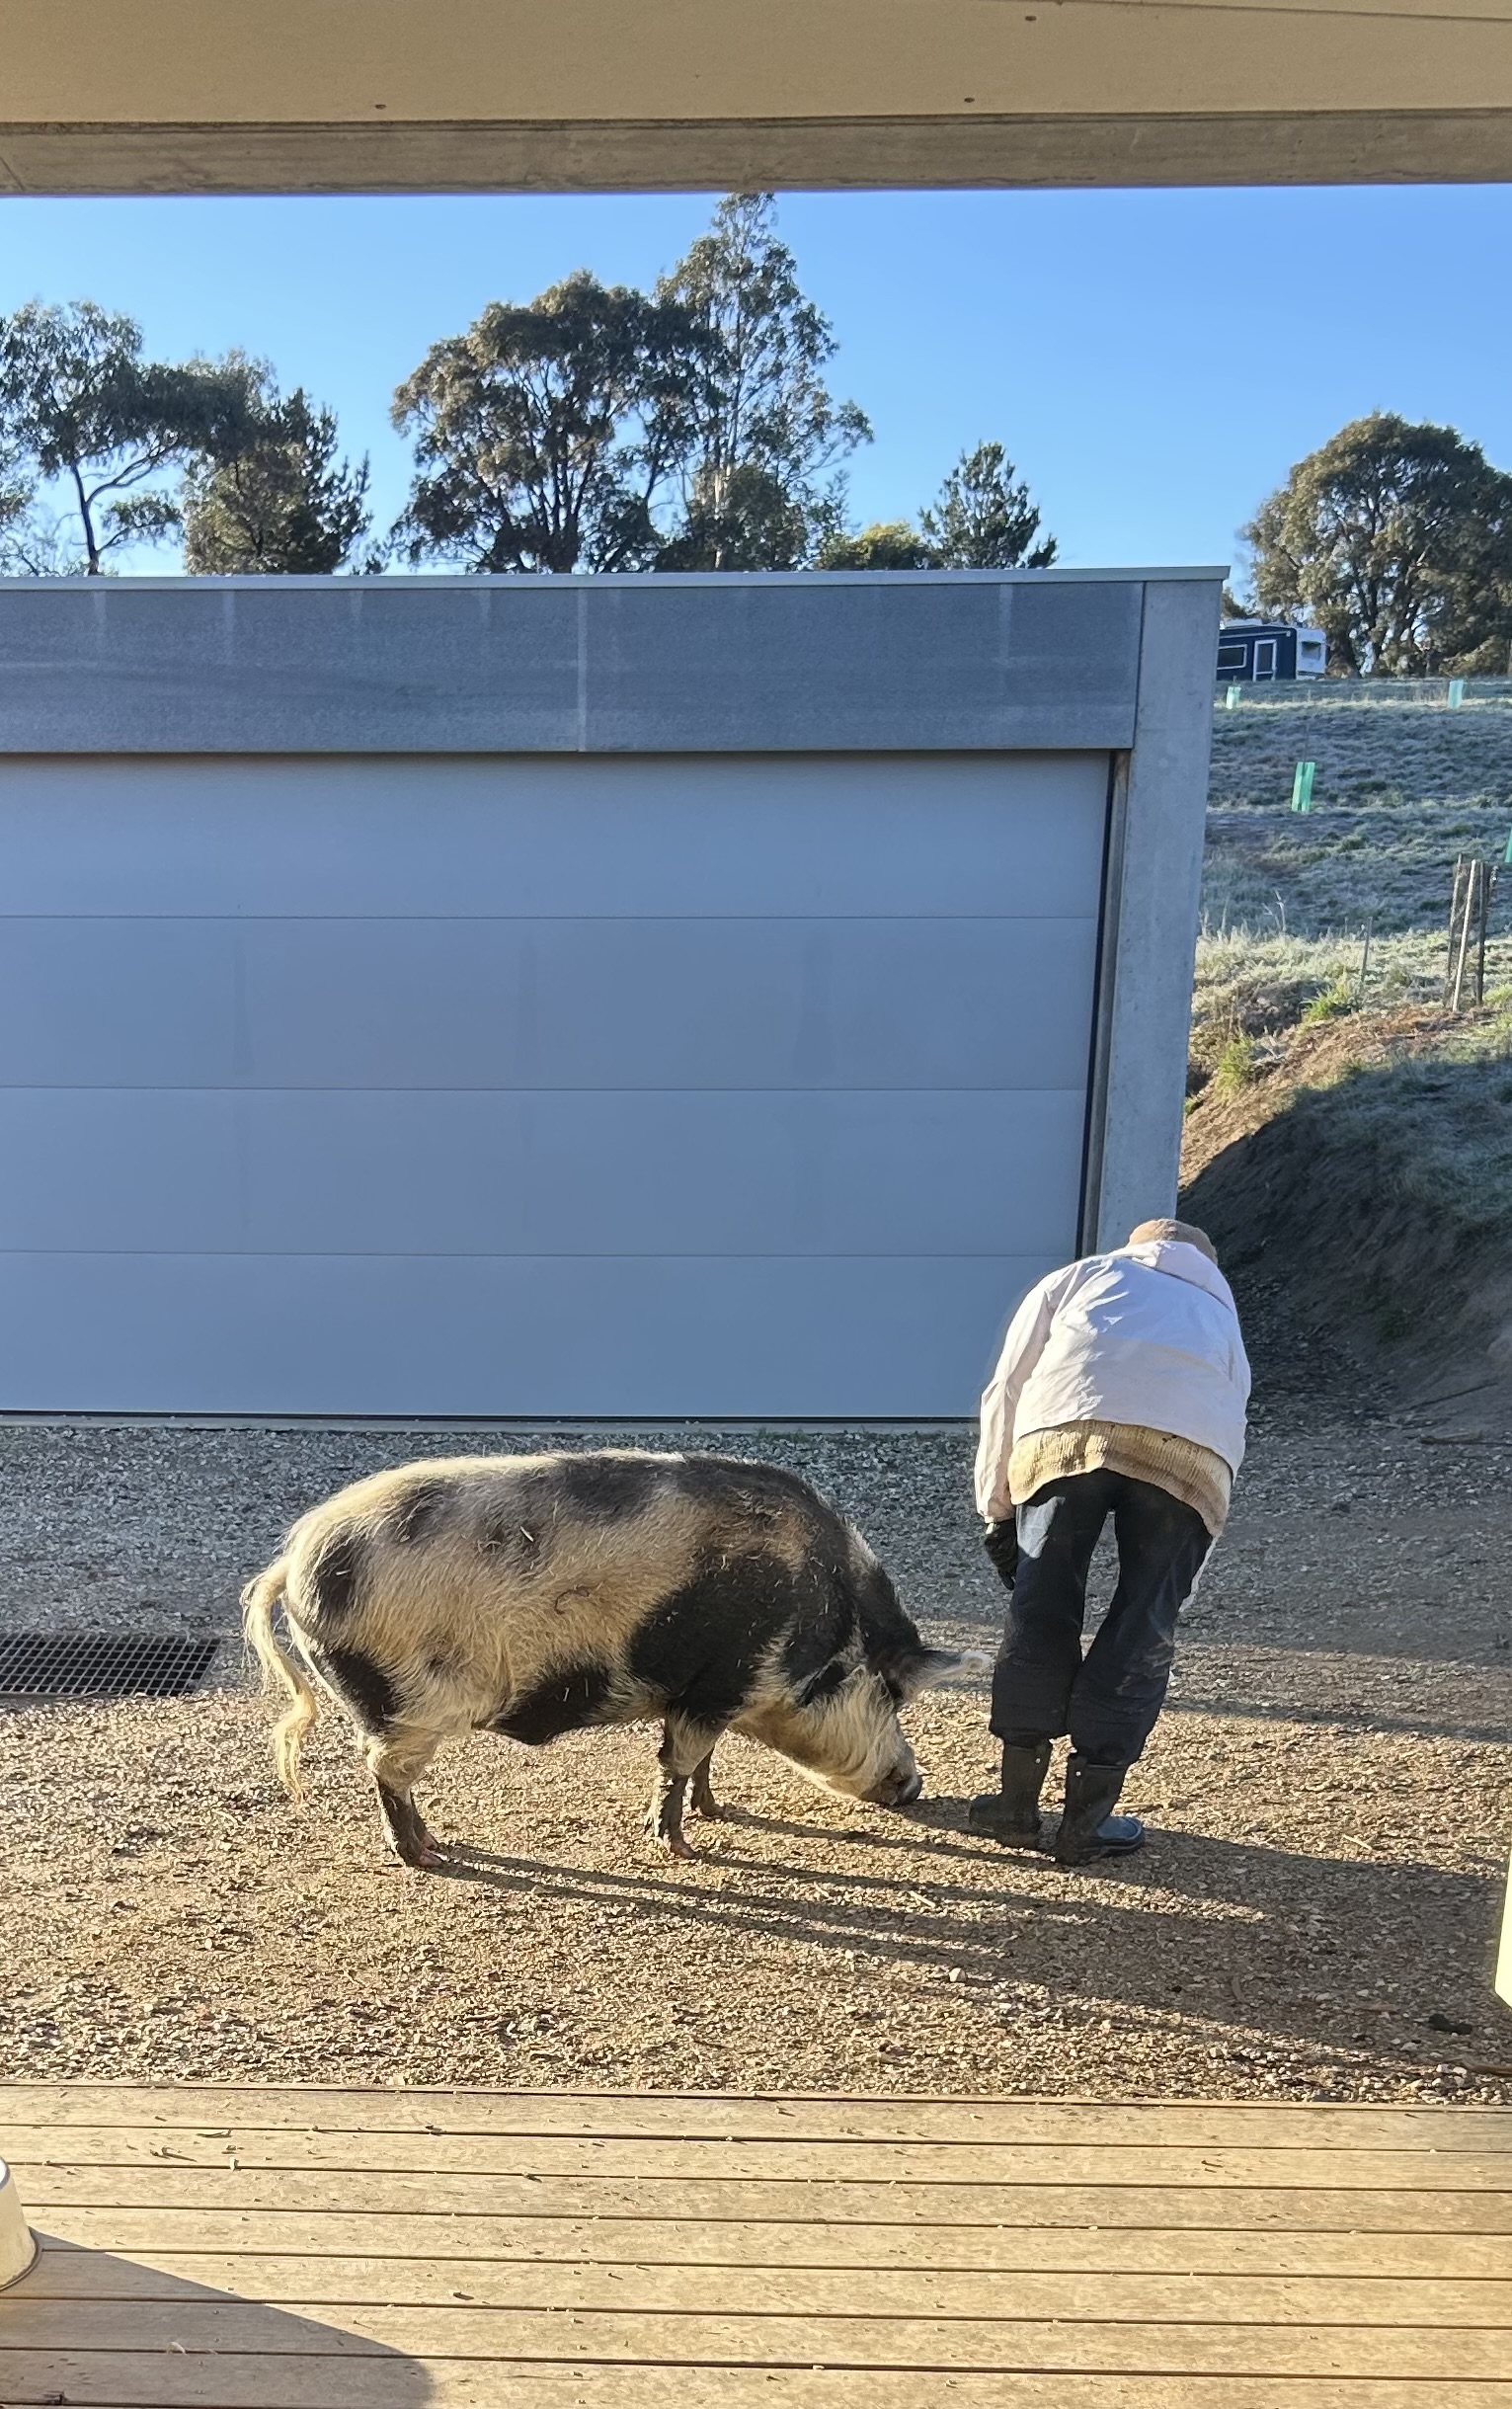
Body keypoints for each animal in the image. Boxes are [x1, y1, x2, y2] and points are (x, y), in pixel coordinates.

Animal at [242, 1448, 984, 1867]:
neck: (822, 1623)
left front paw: (718, 1812)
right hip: (404, 1702)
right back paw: (429, 1855)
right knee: (384, 1773)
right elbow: (676, 1762)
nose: (914, 1785)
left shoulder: (706, 1692)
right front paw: (684, 1848)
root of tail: (293, 1563)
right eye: (892, 1693)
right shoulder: (717, 1685)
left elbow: (700, 1762)